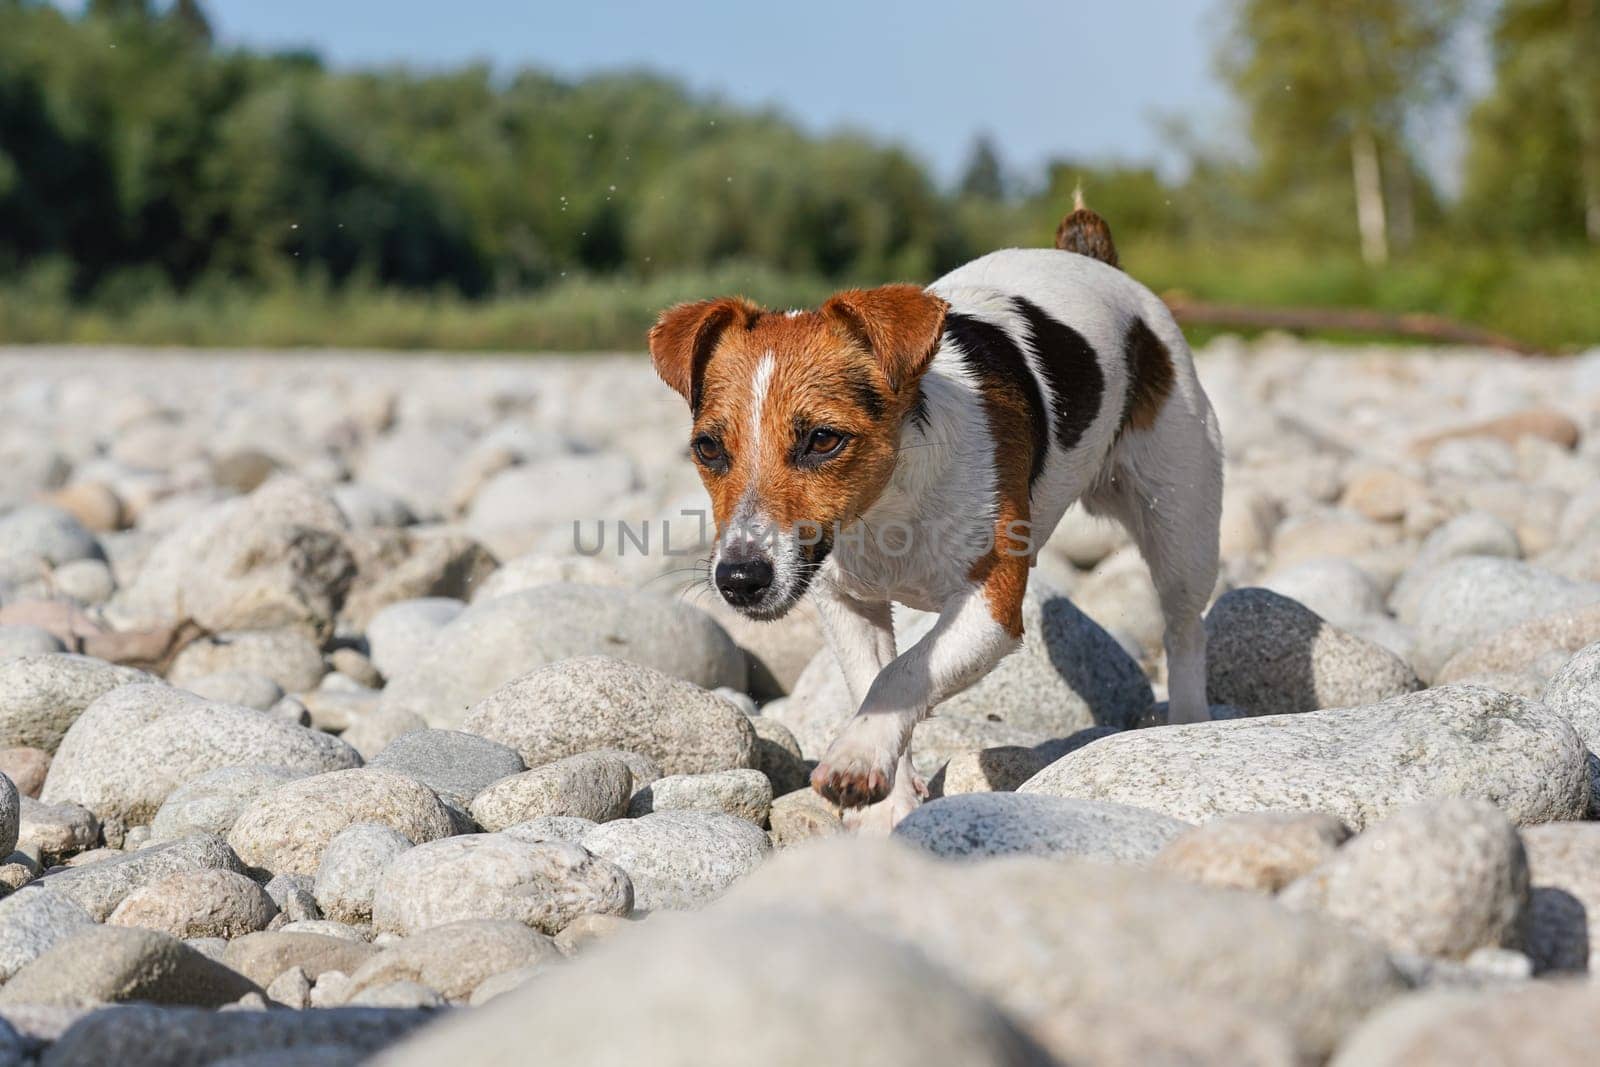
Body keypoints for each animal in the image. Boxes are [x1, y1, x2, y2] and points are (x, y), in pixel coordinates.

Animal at [643, 202, 1216, 831]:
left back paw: (1188, 722)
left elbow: (904, 673)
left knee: (1185, 629)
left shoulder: (992, 606)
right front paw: (888, 804)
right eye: (708, 449)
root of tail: (1091, 257)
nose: (740, 581)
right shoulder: (847, 604)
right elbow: (874, 681)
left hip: (1181, 521)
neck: (888, 506)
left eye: (823, 440)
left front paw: (855, 756)